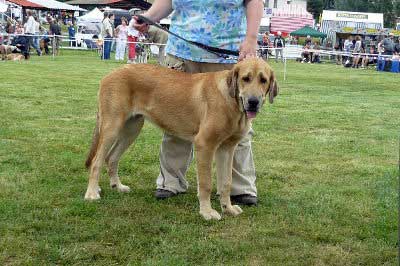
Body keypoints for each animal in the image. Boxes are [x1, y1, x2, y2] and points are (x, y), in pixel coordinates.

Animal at [84, 58, 278, 220]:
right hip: (112, 127)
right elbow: (206, 183)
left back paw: (117, 186)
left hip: (131, 129)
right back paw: (92, 193)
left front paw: (228, 208)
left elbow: (226, 183)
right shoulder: (205, 145)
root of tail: (111, 73)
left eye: (263, 80)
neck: (232, 102)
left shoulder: (227, 149)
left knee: (112, 158)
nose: (253, 102)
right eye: (246, 78)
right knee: (96, 161)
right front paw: (207, 212)